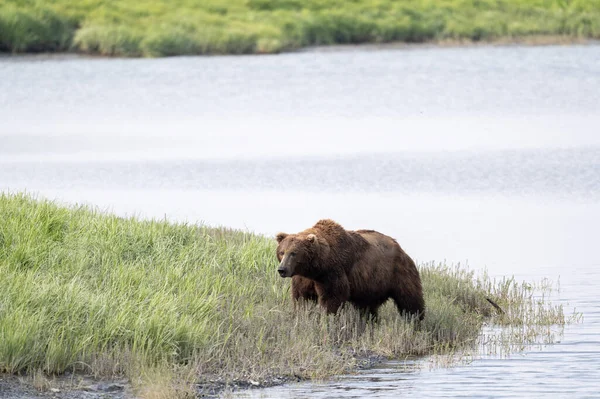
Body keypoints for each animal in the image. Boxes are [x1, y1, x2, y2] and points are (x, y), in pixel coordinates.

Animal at [278, 220, 424, 320]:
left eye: (293, 253)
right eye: (281, 252)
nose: (282, 269)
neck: (315, 268)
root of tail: (400, 247)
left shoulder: (332, 273)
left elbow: (332, 298)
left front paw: (329, 318)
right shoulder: (304, 278)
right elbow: (302, 297)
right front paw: (302, 315)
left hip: (399, 272)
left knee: (410, 300)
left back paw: (415, 321)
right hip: (370, 284)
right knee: (367, 307)